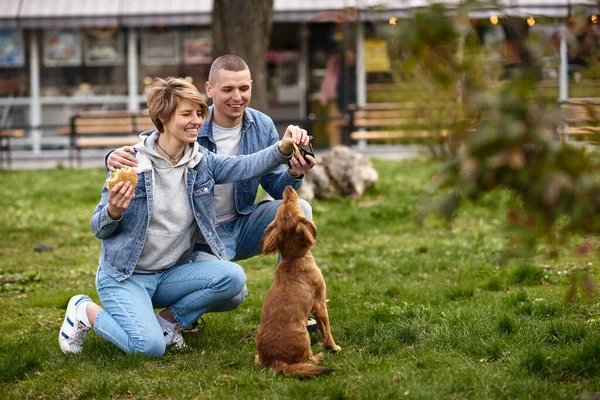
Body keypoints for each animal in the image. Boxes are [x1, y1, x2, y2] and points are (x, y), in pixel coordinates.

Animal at [254, 186, 342, 376]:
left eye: (285, 204)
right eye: (292, 203)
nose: (288, 188)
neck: (294, 258)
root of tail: (277, 361)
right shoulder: (320, 303)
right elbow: (326, 330)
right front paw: (333, 347)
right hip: (305, 337)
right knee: (307, 359)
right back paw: (318, 357)